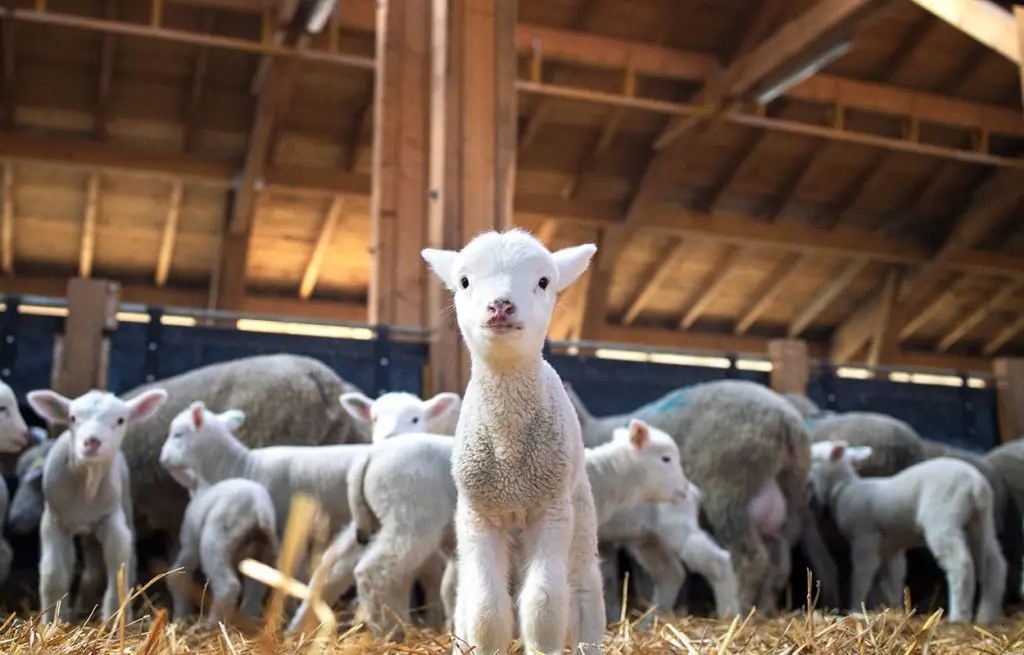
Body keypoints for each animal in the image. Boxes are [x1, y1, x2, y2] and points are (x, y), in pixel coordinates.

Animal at [27, 387, 169, 624]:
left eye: (120, 420)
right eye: (72, 418)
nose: (92, 442)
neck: (87, 483)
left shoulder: (112, 519)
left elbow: (118, 565)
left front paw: (114, 619)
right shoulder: (54, 521)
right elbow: (54, 572)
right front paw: (52, 621)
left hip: (124, 503)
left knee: (126, 558)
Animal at [163, 459, 279, 628]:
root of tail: (259, 507)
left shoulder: (190, 541)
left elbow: (177, 574)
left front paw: (180, 615)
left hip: (215, 541)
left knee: (229, 586)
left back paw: (210, 625)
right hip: (264, 551)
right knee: (256, 589)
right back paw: (249, 622)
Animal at [421, 229, 605, 655]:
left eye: (544, 281)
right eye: (464, 281)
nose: (501, 305)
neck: (509, 457)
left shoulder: (550, 510)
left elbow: (544, 605)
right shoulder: (479, 515)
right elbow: (486, 609)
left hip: (579, 509)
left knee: (583, 587)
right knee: (466, 599)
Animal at [562, 380, 820, 616]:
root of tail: (787, 421)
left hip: (729, 495)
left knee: (750, 560)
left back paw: (738, 610)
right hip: (789, 504)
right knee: (779, 566)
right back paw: (763, 612)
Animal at [808, 440, 1006, 624]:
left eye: (814, 457)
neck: (844, 489)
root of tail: (976, 484)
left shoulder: (865, 539)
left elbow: (862, 575)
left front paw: (855, 607)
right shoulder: (891, 547)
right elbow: (894, 579)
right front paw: (896, 609)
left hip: (943, 519)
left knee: (961, 563)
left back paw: (958, 617)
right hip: (980, 522)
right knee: (994, 563)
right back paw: (986, 617)